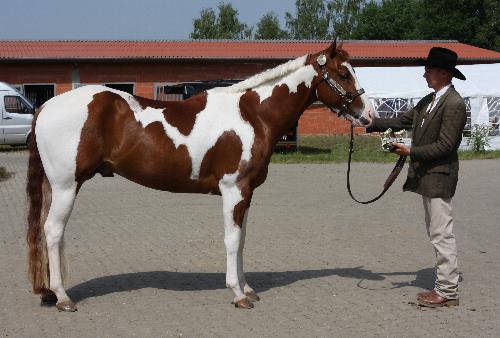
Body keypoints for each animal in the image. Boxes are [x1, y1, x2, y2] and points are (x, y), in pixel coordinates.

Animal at [25, 40, 374, 312]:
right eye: (344, 73)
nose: (369, 116)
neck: (253, 116)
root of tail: (45, 107)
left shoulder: (247, 193)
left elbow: (242, 240)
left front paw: (248, 289)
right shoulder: (234, 189)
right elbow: (232, 240)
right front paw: (237, 294)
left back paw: (48, 293)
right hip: (66, 185)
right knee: (53, 232)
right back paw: (63, 298)